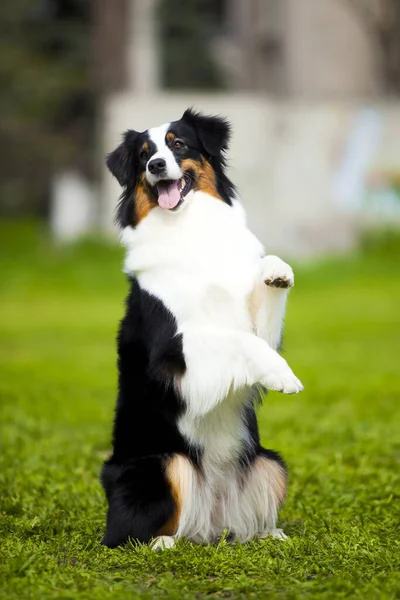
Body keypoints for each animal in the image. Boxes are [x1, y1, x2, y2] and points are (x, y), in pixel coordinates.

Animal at [101, 110, 304, 552]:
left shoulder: (256, 325)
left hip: (269, 462)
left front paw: (277, 271)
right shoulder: (174, 357)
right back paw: (162, 543)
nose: (155, 166)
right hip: (164, 463)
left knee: (243, 521)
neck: (187, 228)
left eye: (178, 144)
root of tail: (210, 525)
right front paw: (283, 376)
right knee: (129, 534)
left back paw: (269, 533)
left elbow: (259, 327)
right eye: (144, 154)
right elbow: (239, 340)